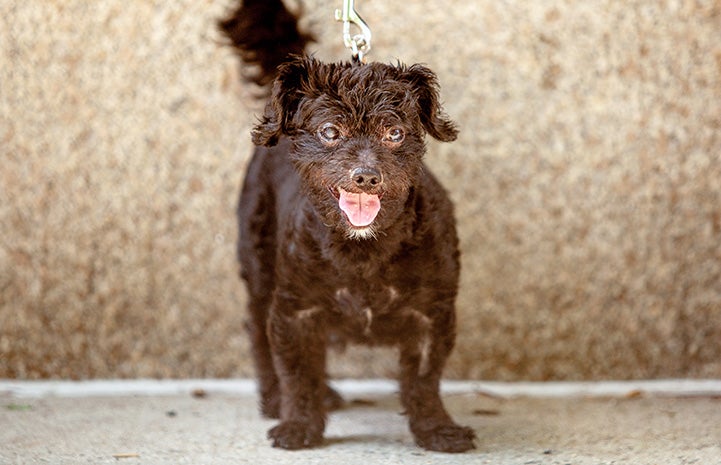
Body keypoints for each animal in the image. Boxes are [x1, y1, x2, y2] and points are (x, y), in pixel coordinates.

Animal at [222, 0, 476, 452]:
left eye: (395, 132)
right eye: (330, 131)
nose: (366, 176)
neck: (363, 249)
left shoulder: (433, 313)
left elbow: (425, 380)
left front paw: (436, 429)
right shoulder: (294, 310)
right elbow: (296, 372)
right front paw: (298, 423)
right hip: (259, 270)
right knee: (258, 335)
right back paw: (274, 399)